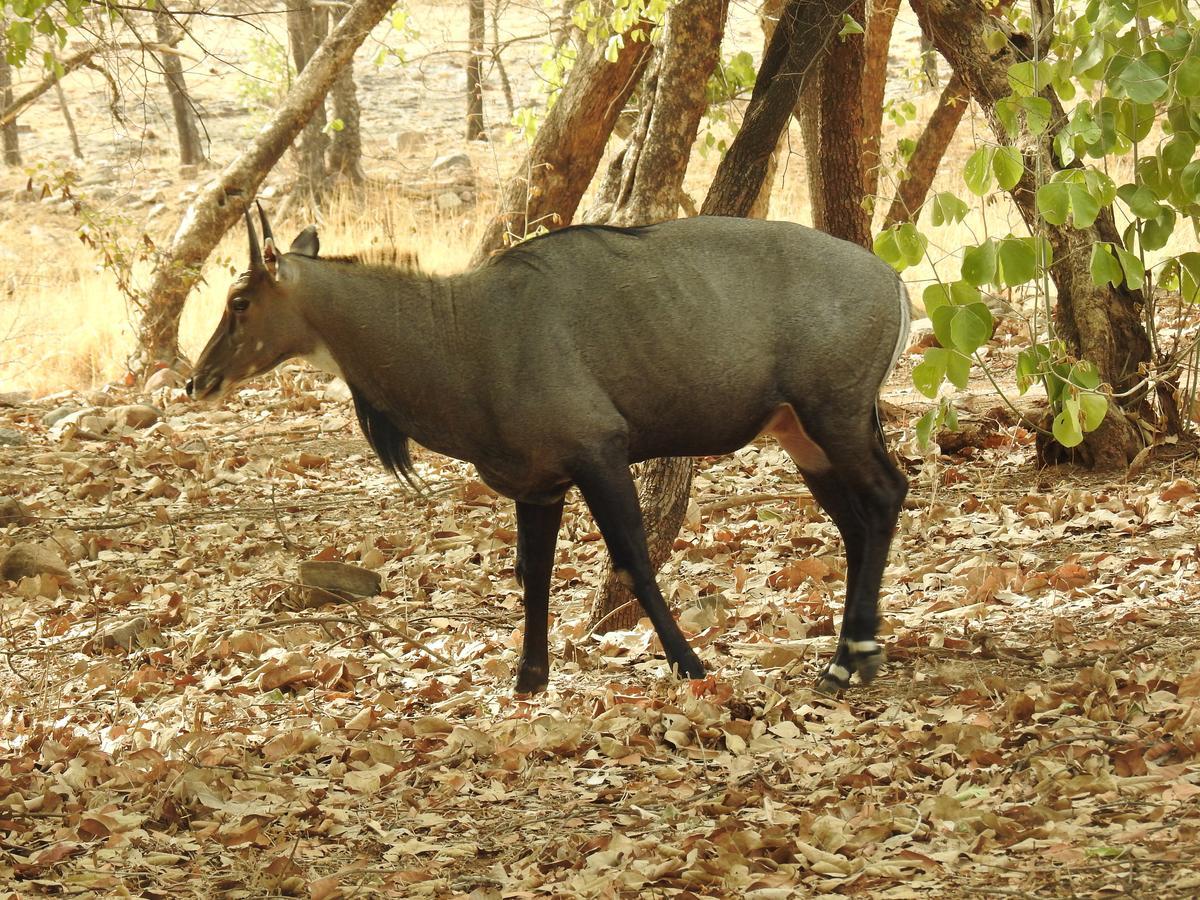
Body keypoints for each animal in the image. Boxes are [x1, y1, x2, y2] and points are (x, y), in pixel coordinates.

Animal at [189, 206, 907, 696]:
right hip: (801, 434)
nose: (198, 380)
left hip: (836, 415)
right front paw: (529, 677)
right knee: (856, 522)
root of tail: (893, 281)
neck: (465, 334)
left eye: (240, 300)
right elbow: (533, 575)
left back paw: (851, 657)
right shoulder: (539, 484)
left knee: (885, 497)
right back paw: (849, 655)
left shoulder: (601, 451)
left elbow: (633, 562)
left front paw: (689, 663)